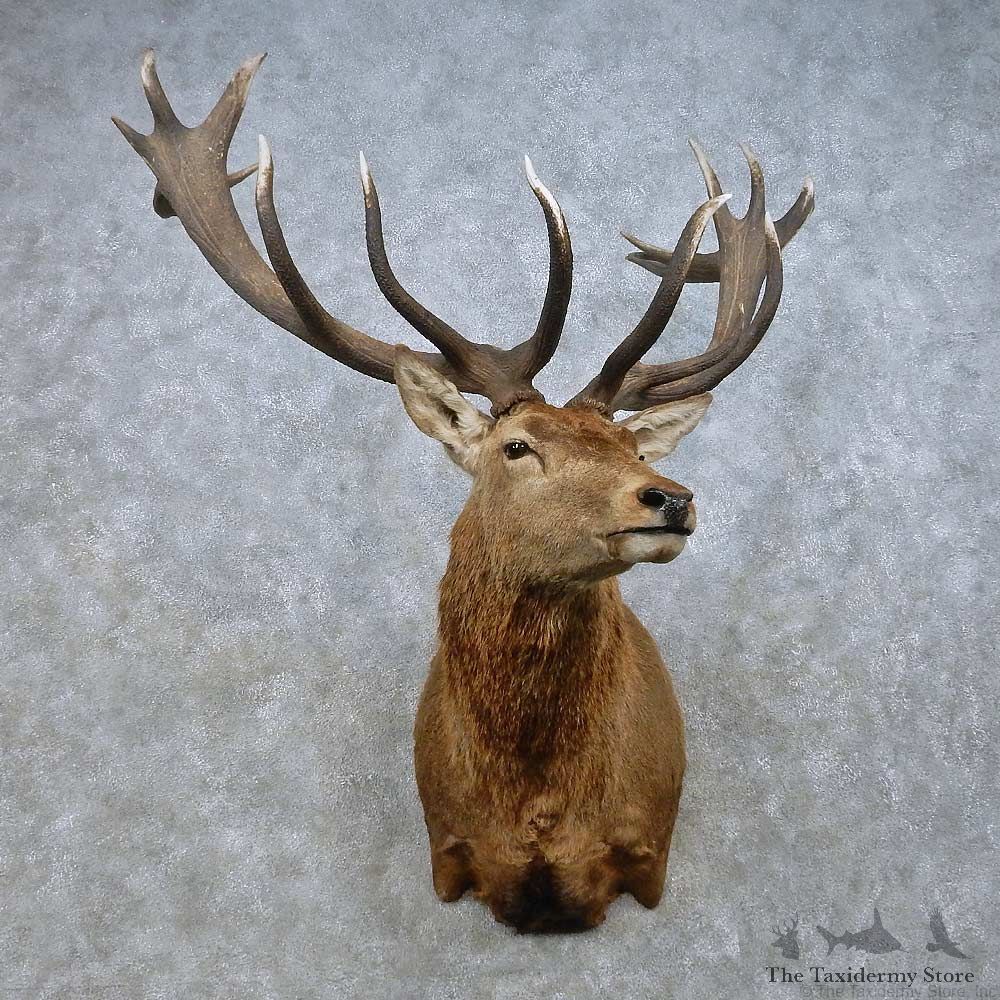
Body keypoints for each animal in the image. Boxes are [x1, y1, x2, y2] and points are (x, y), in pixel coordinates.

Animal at [114, 51, 814, 934]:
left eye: (628, 444)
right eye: (517, 447)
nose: (670, 498)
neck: (537, 812)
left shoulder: (646, 854)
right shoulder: (448, 848)